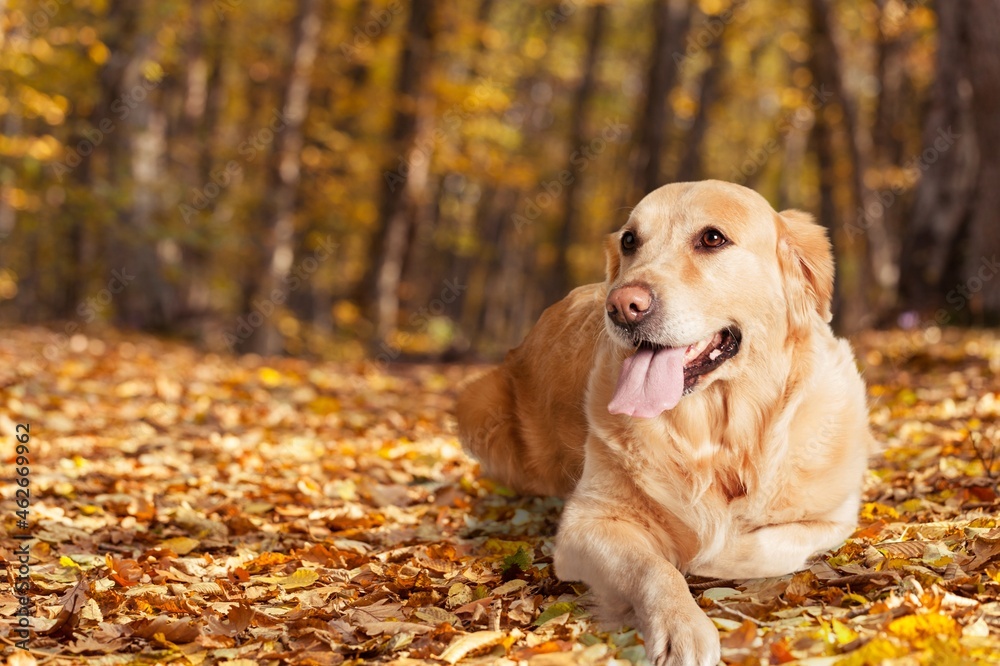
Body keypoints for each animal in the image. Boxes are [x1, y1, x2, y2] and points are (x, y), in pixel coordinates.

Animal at [458, 180, 872, 664]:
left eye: (712, 238)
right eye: (629, 241)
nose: (622, 305)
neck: (718, 436)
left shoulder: (833, 517)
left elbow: (756, 545)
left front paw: (704, 554)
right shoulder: (588, 523)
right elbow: (651, 566)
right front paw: (681, 625)